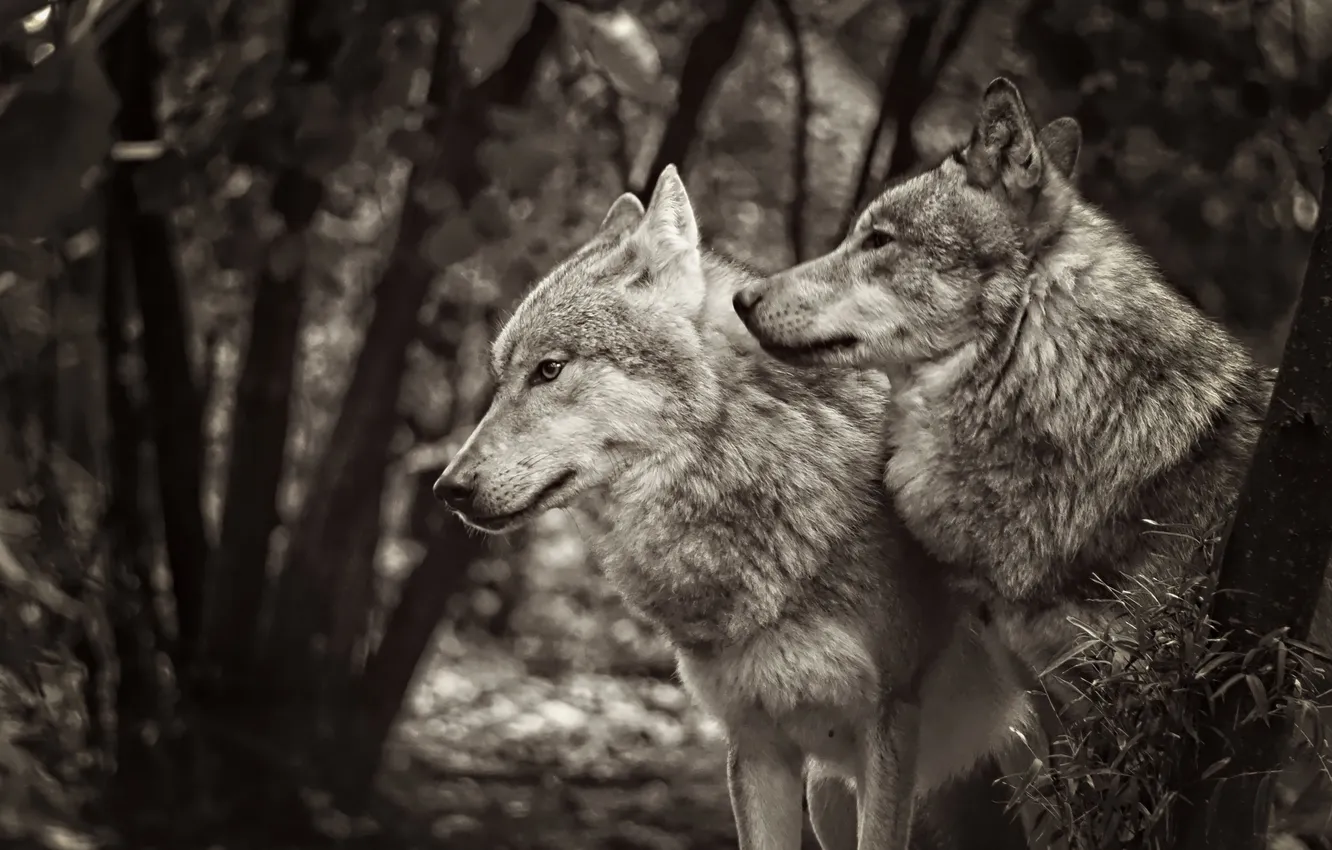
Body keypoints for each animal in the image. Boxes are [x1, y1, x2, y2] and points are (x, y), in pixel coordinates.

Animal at [433, 166, 1033, 850]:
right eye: (501, 378)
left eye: (550, 369)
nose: (447, 488)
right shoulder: (755, 742)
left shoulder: (889, 725)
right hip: (832, 795)